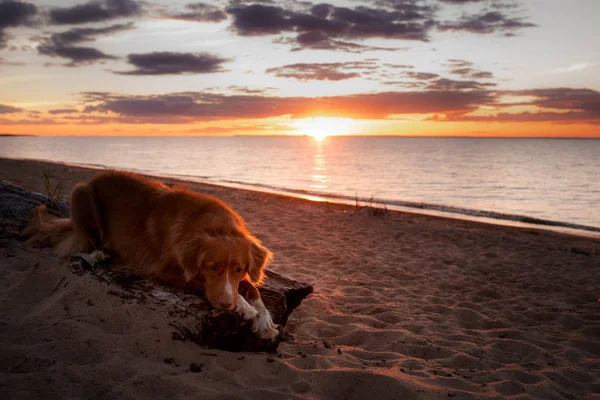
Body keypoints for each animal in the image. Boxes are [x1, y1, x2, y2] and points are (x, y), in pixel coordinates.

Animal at [25, 170, 282, 340]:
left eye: (239, 269)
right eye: (212, 267)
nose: (226, 305)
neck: (212, 226)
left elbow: (252, 288)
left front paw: (264, 319)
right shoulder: (164, 271)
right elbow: (204, 284)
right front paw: (244, 307)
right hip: (83, 194)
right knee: (88, 243)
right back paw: (99, 254)